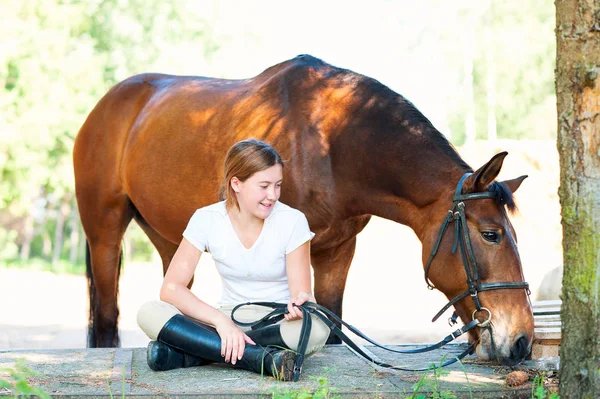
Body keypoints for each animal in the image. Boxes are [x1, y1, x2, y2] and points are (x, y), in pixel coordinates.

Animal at [75, 54, 536, 366]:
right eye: (491, 234)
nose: (522, 343)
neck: (331, 142)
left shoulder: (337, 251)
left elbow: (330, 327)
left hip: (170, 238)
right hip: (104, 232)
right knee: (106, 319)